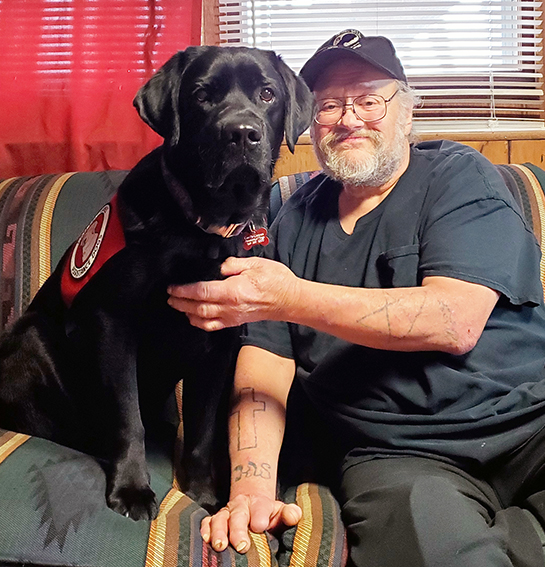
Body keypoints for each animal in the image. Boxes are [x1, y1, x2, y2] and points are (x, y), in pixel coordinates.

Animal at [0, 46, 310, 520]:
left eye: (267, 93)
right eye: (201, 95)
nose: (241, 133)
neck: (202, 231)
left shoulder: (220, 343)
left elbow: (202, 430)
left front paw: (201, 493)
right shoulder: (114, 323)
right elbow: (128, 419)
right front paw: (131, 489)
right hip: (32, 337)